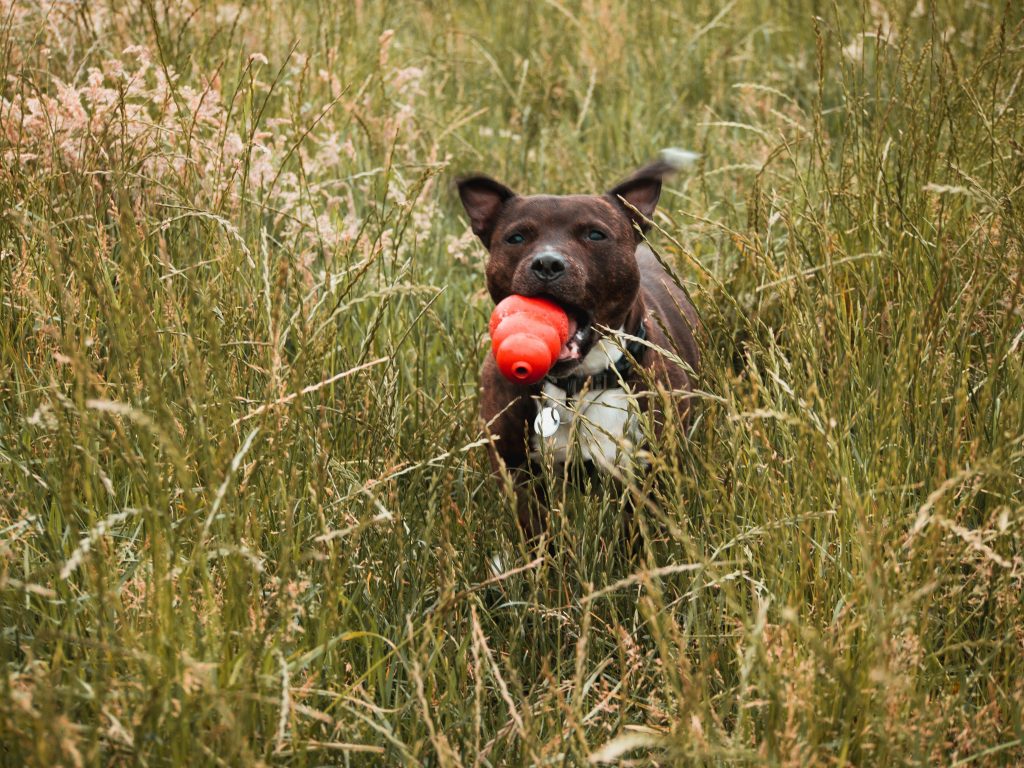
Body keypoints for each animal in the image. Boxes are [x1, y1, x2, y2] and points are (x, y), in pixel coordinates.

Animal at [460, 153, 700, 536]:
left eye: (595, 234)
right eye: (516, 237)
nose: (547, 262)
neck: (579, 384)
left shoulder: (651, 476)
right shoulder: (520, 476)